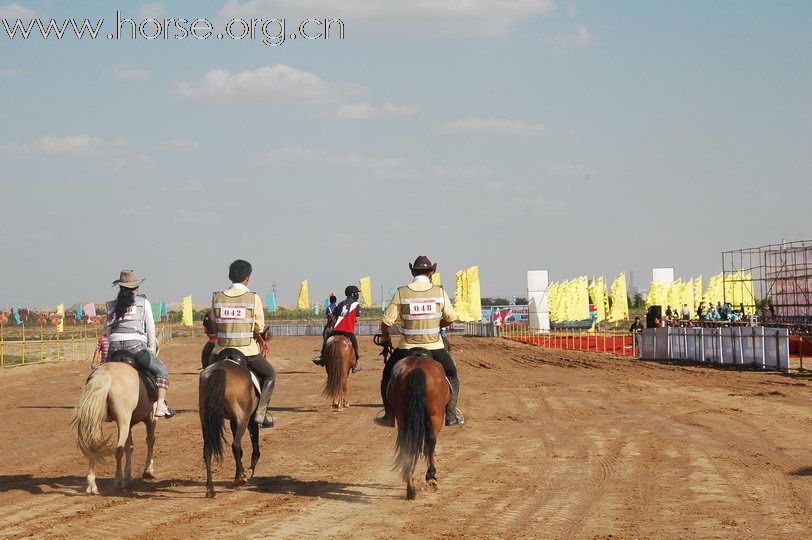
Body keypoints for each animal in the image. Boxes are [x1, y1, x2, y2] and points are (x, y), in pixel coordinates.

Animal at [72, 352, 158, 496]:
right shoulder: (151, 418)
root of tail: (105, 375)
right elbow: (150, 440)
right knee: (118, 449)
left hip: (96, 420)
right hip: (123, 420)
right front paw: (148, 471)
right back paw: (118, 480)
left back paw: (92, 486)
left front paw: (129, 474)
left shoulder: (130, 423)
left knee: (92, 446)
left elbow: (130, 446)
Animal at [386, 352, 450, 500]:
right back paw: (430, 478)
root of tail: (417, 368)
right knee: (430, 441)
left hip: (402, 415)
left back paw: (410, 488)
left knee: (407, 444)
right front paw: (431, 476)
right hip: (436, 415)